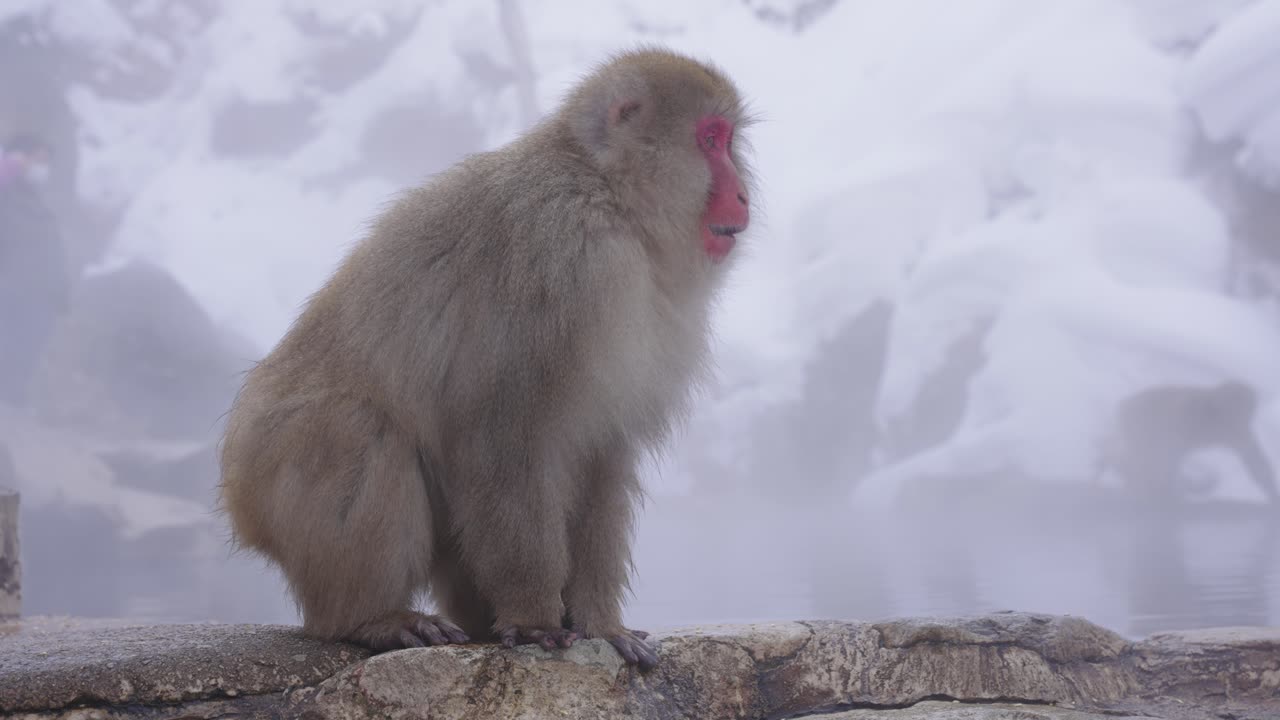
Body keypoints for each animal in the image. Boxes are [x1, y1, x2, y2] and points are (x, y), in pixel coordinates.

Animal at [217, 47, 754, 671]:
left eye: (729, 141)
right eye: (710, 139)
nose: (743, 195)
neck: (608, 195)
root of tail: (239, 498)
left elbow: (602, 451)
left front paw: (601, 623)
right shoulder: (563, 264)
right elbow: (505, 437)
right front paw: (534, 618)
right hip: (271, 474)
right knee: (359, 429)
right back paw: (371, 617)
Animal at [1096, 380, 1279, 506]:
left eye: (1247, 409)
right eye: (1233, 402)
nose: (1244, 414)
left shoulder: (1237, 429)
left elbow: (1253, 457)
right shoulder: (1188, 409)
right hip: (1132, 418)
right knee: (1151, 452)